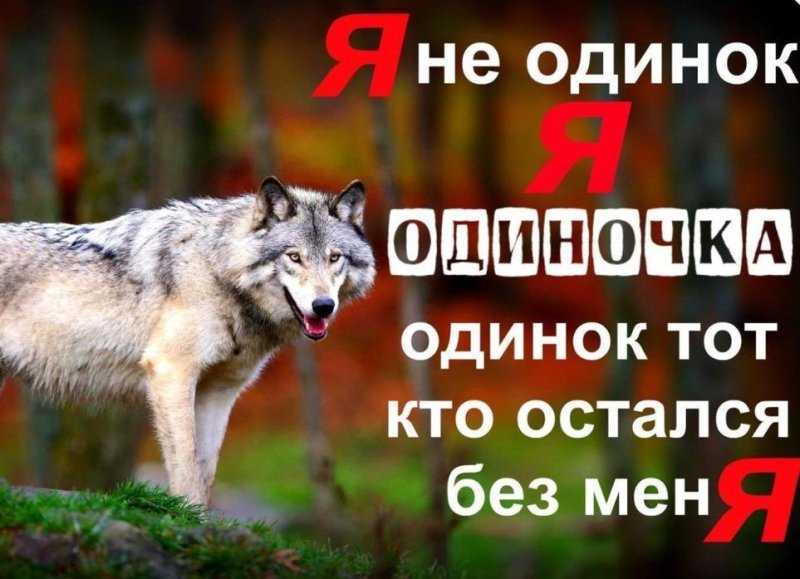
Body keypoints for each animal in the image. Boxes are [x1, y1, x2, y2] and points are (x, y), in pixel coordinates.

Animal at [0, 176, 376, 505]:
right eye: (294, 257)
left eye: (334, 257)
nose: (323, 306)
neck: (217, 269)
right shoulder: (171, 372)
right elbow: (187, 466)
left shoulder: (219, 392)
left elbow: (206, 472)